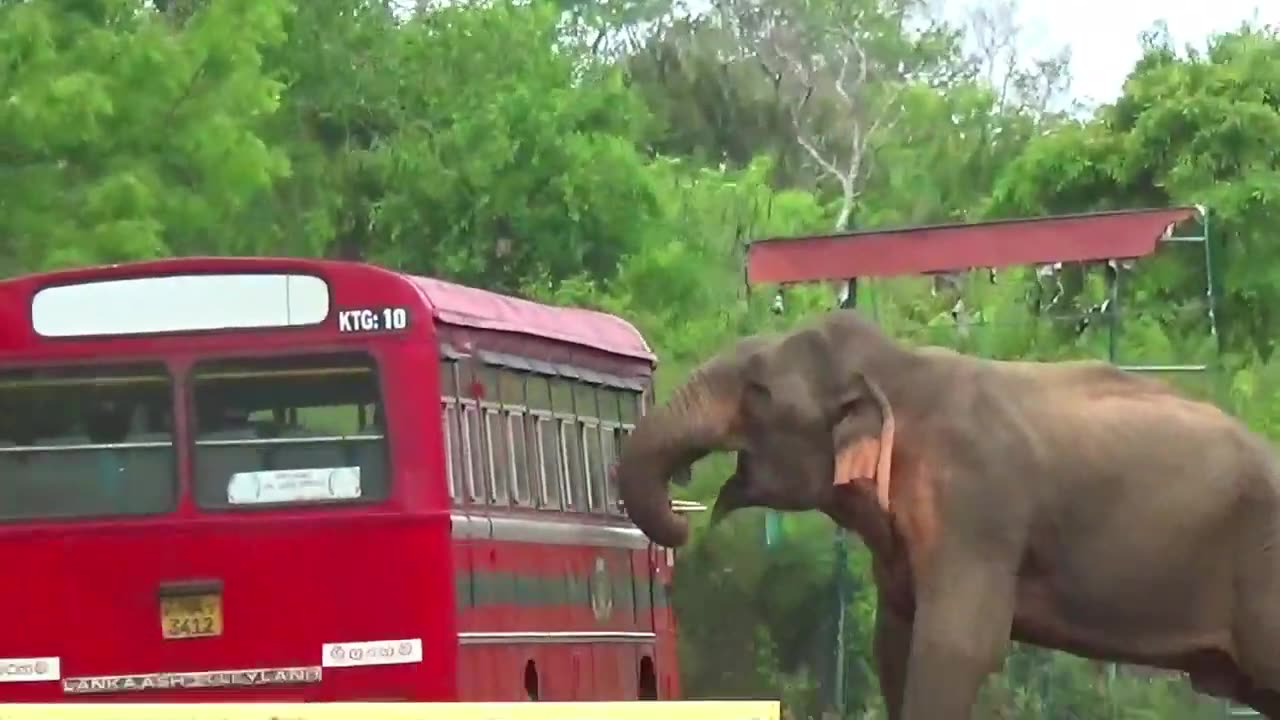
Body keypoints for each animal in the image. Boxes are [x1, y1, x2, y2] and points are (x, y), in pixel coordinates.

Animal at [614, 308, 1280, 719]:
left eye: (758, 392)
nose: (685, 522)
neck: (899, 370)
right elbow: (894, 641)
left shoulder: (978, 508)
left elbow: (957, 644)